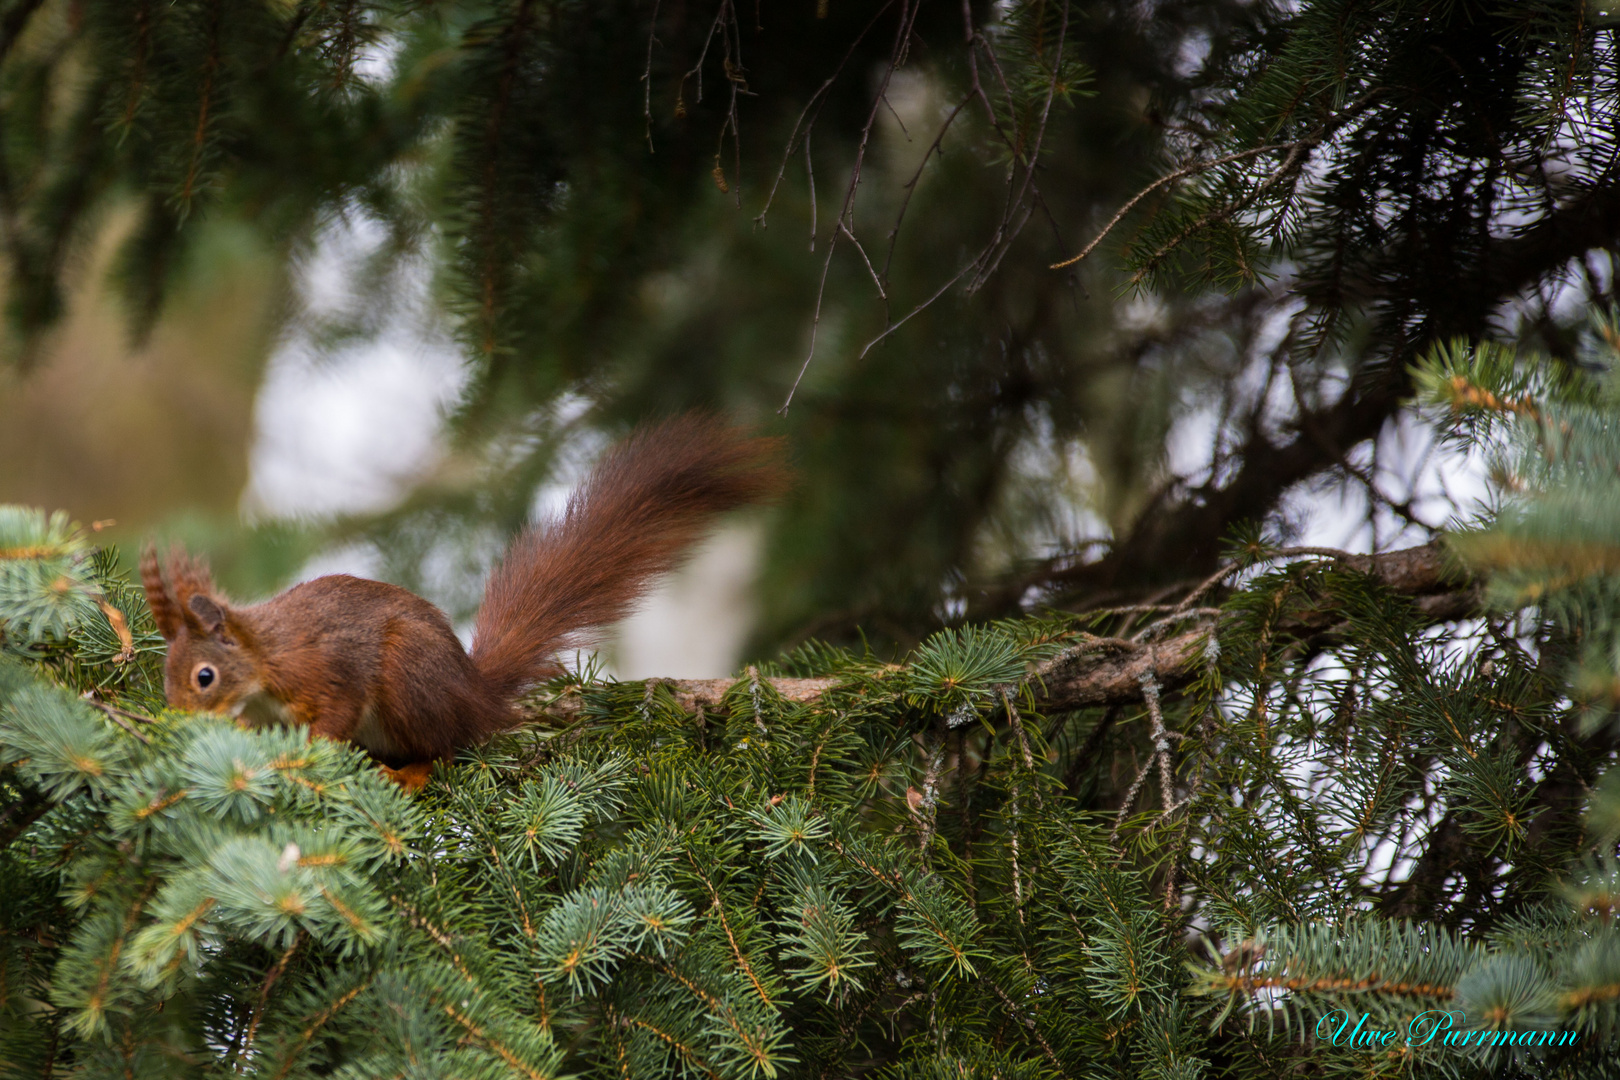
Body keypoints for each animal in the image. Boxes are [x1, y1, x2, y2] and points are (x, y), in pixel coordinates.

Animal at [139, 417, 784, 786]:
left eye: (203, 676)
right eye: (165, 675)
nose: (173, 723)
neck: (260, 661)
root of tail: (476, 697)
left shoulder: (322, 670)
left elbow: (336, 710)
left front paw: (305, 755)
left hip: (408, 679)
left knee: (447, 748)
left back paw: (414, 772)